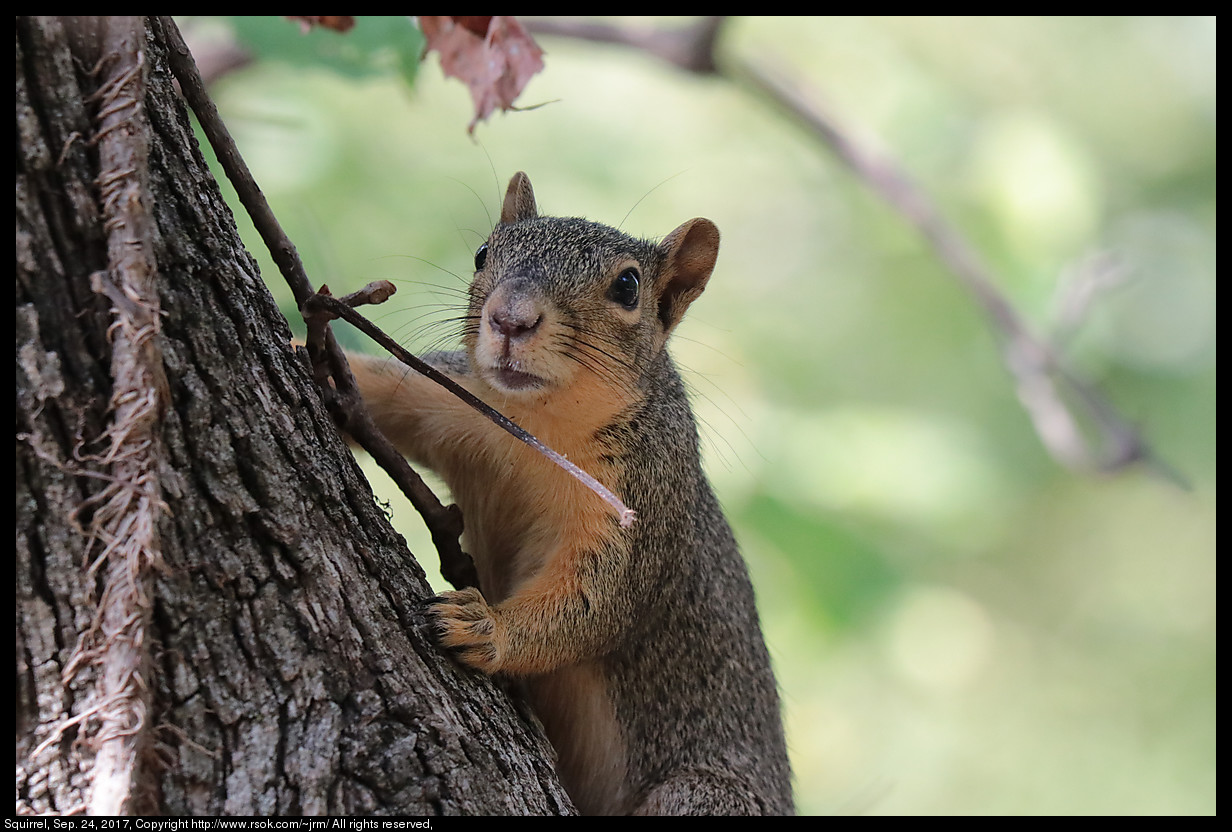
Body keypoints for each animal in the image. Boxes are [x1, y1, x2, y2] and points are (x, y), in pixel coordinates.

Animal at [347, 172, 793, 818]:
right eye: (483, 253)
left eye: (628, 287)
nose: (510, 319)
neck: (542, 420)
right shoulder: (452, 396)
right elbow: (383, 387)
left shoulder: (643, 500)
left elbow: (596, 600)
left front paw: (487, 628)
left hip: (704, 795)